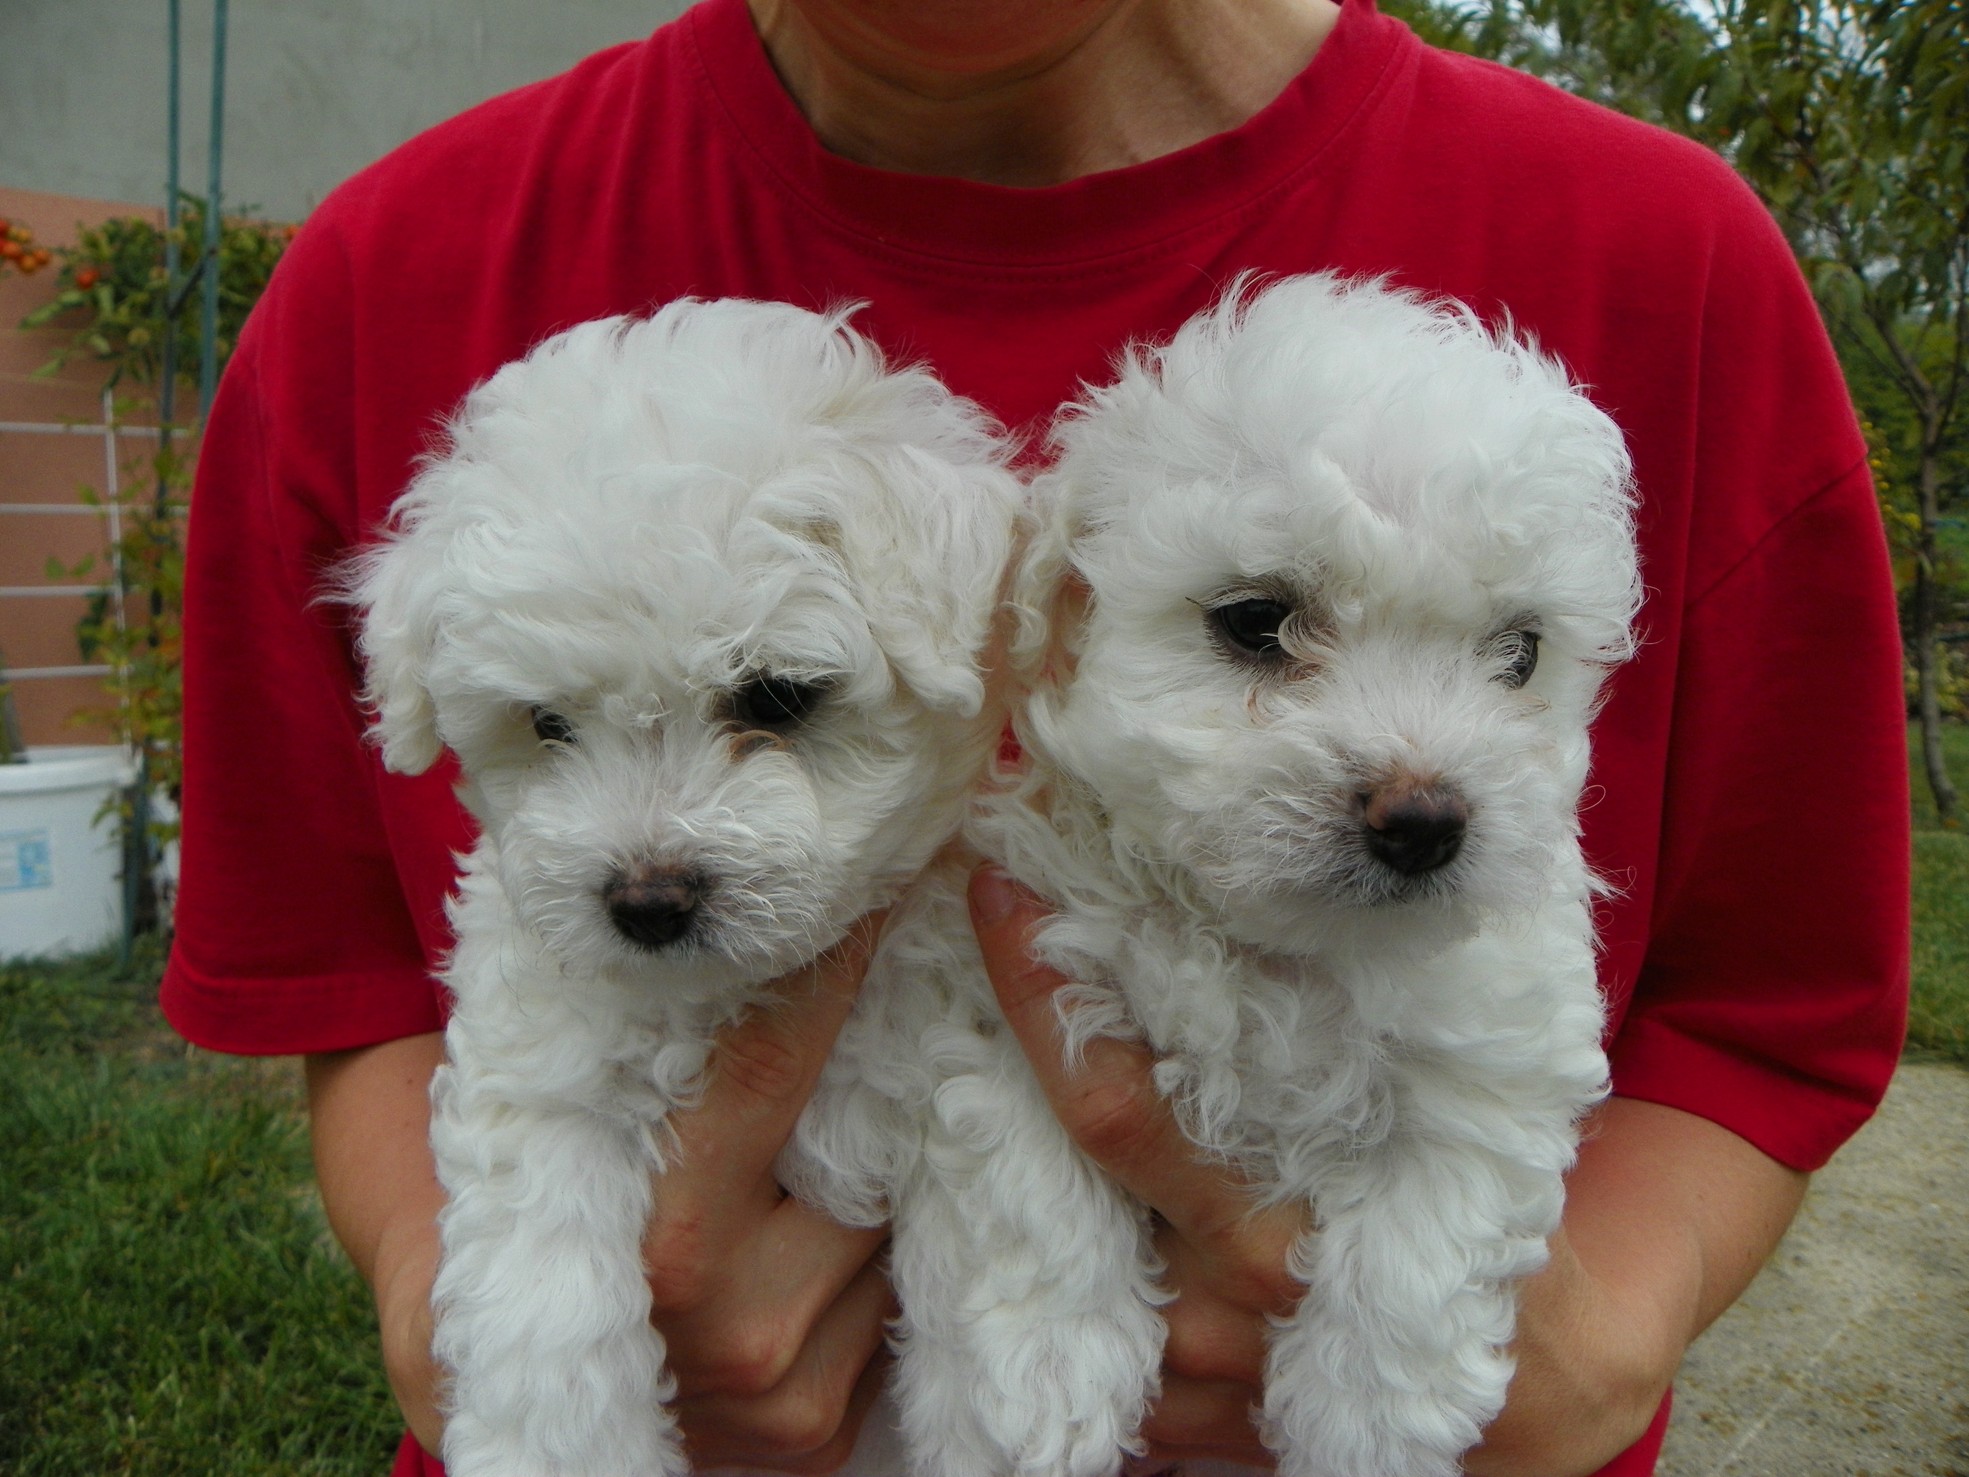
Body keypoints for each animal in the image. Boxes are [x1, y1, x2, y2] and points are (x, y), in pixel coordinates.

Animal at [347, 298, 1020, 1477]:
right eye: (546, 723)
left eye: (777, 696)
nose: (648, 899)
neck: (726, 993)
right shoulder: (545, 1061)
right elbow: (541, 1270)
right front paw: (557, 1445)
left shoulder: (944, 1008)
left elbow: (982, 1165)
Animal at [959, 273, 1642, 1477]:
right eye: (1253, 621)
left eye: (1519, 654)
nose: (1423, 819)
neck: (1280, 955)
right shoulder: (1030, 968)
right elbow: (1031, 1169)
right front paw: (1044, 1376)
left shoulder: (1495, 1054)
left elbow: (1429, 1229)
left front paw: (1365, 1421)